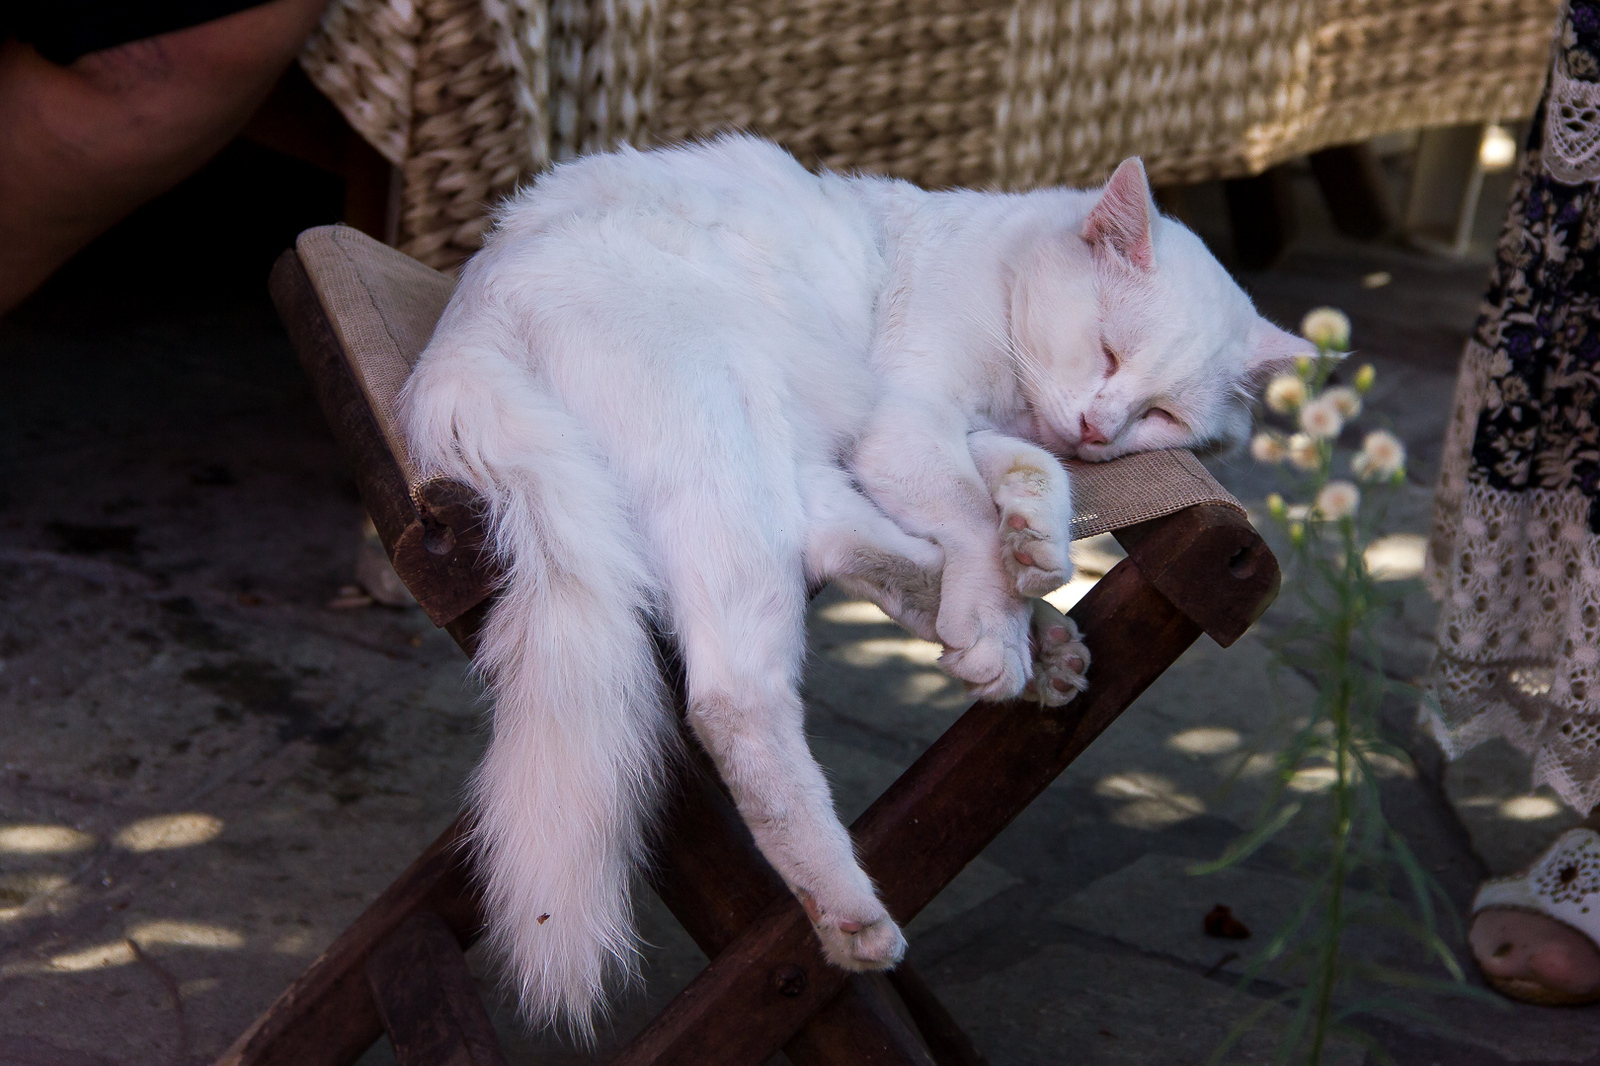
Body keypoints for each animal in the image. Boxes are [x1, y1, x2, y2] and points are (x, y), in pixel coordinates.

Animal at [400, 135, 1312, 1037]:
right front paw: (999, 617)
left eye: (1162, 416)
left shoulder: (958, 434)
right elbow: (970, 512)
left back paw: (1038, 639)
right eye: (1108, 350)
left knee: (838, 541)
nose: (1099, 427)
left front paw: (1035, 550)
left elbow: (1029, 476)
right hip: (736, 450)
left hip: (778, 450)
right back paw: (853, 904)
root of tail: (466, 323)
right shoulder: (905, 420)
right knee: (734, 696)